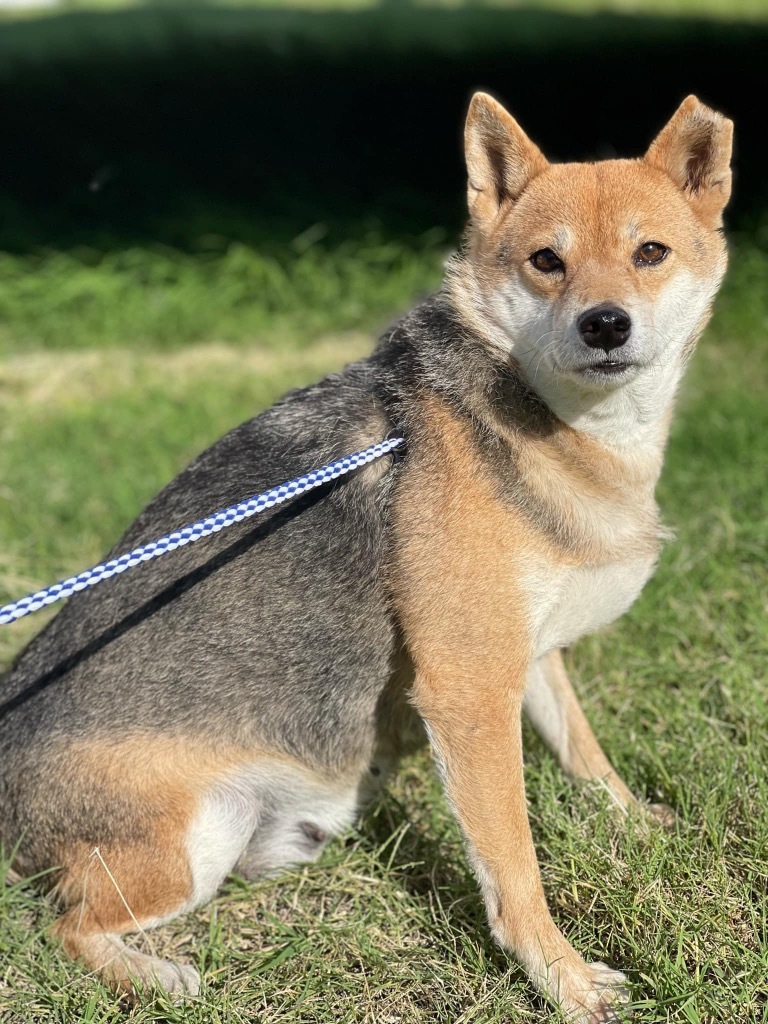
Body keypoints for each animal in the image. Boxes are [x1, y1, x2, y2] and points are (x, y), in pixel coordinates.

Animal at [0, 92, 733, 1019]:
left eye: (651, 252)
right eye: (546, 262)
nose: (605, 324)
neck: (541, 416)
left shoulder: (521, 653)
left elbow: (583, 751)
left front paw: (634, 819)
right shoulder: (467, 690)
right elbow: (514, 867)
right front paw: (562, 978)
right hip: (193, 839)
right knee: (66, 925)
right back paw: (156, 977)